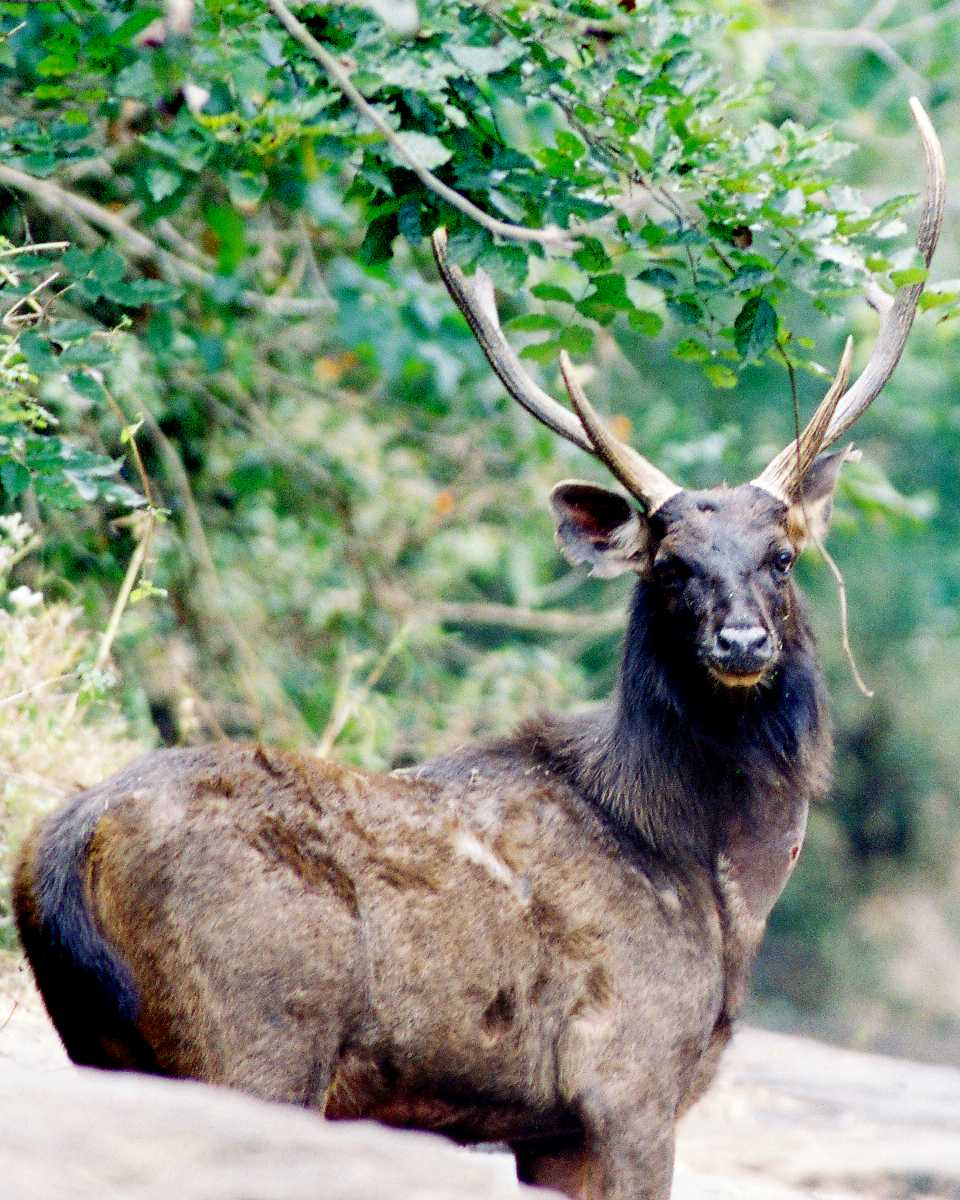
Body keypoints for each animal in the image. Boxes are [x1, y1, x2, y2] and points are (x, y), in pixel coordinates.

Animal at [13, 103, 945, 1200]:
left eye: (783, 556)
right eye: (669, 564)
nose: (742, 639)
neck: (710, 877)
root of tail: (61, 851)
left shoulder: (547, 1130)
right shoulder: (625, 1083)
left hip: (103, 1048)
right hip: (251, 1036)